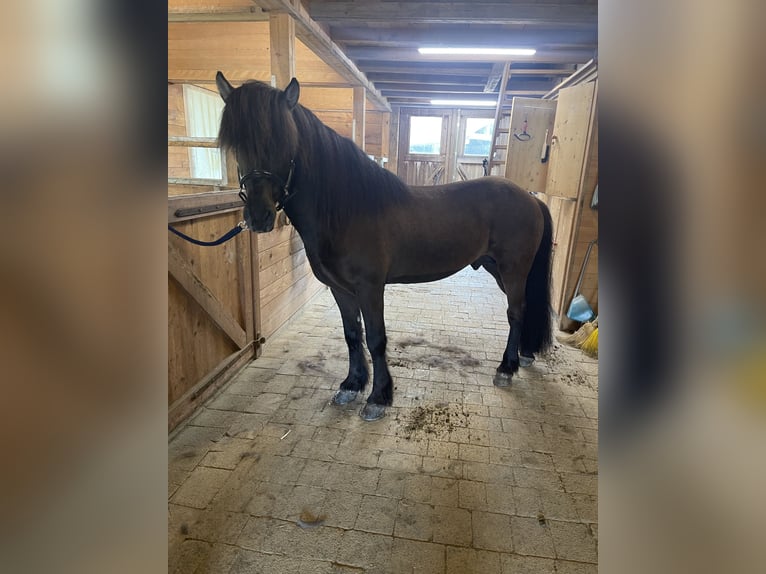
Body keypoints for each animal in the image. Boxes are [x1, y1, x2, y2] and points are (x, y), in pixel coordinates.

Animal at [215, 72, 554, 421]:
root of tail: (529, 198)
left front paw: (378, 397)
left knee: (516, 311)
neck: (348, 210)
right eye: (236, 145)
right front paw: (351, 385)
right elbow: (353, 335)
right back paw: (524, 356)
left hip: (513, 269)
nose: (259, 216)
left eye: (283, 141)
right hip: (497, 268)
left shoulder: (370, 287)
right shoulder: (341, 289)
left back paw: (506, 368)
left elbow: (376, 338)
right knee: (522, 308)